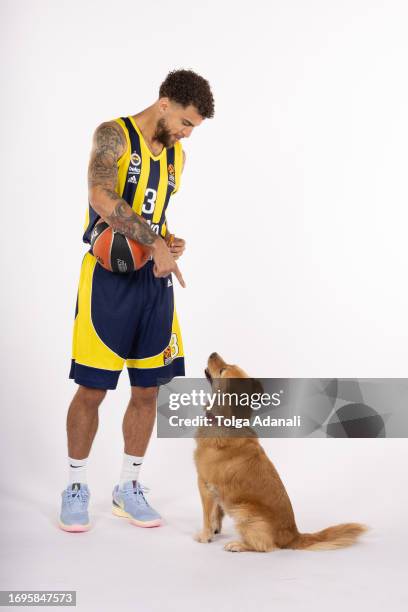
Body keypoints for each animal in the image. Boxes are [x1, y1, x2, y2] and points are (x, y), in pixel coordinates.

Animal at [193, 352, 368, 552]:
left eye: (222, 370)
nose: (213, 353)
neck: (225, 422)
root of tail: (293, 534)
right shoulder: (215, 491)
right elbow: (217, 512)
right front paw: (215, 529)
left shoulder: (204, 484)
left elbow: (207, 514)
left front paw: (205, 535)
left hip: (244, 511)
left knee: (265, 546)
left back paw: (238, 545)